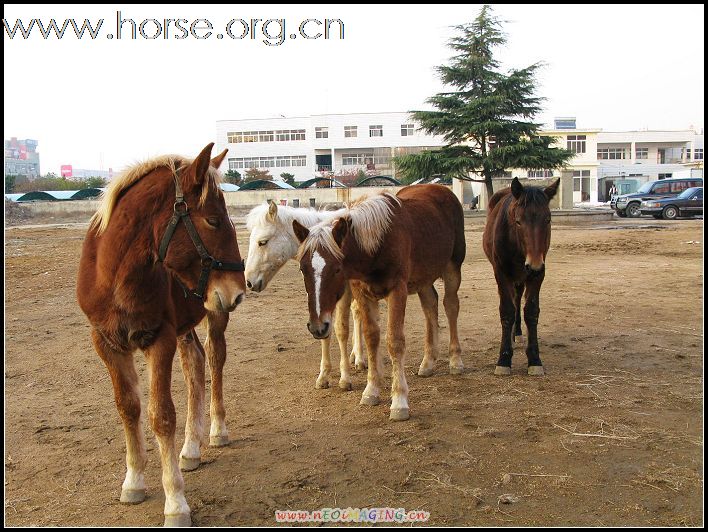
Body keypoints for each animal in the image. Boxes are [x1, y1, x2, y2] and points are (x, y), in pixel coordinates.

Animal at [77, 142, 246, 528]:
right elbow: (128, 408)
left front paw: (175, 502)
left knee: (214, 361)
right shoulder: (106, 344)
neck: (115, 275)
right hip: (186, 325)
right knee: (195, 365)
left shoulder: (160, 339)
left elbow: (162, 415)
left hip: (212, 314)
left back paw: (216, 431)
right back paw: (190, 449)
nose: (238, 291)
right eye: (213, 220)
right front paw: (134, 482)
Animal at [245, 202, 366, 388]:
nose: (249, 281)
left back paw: (359, 358)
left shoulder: (342, 293)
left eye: (262, 242)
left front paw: (345, 378)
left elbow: (340, 330)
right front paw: (323, 376)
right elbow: (325, 331)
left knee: (359, 314)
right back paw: (354, 355)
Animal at [292, 185, 464, 422]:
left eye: (337, 268)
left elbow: (395, 341)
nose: (318, 327)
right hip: (424, 278)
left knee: (451, 306)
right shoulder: (361, 292)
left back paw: (455, 360)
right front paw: (371, 390)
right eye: (303, 268)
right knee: (431, 305)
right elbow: (371, 338)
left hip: (452, 267)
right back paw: (428, 363)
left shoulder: (398, 291)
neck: (377, 245)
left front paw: (399, 402)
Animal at [482, 177, 560, 376]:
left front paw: (534, 359)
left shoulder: (537, 275)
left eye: (547, 219)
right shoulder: (502, 274)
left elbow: (531, 312)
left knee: (517, 299)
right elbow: (507, 311)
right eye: (518, 221)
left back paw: (516, 333)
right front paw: (504, 359)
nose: (534, 265)